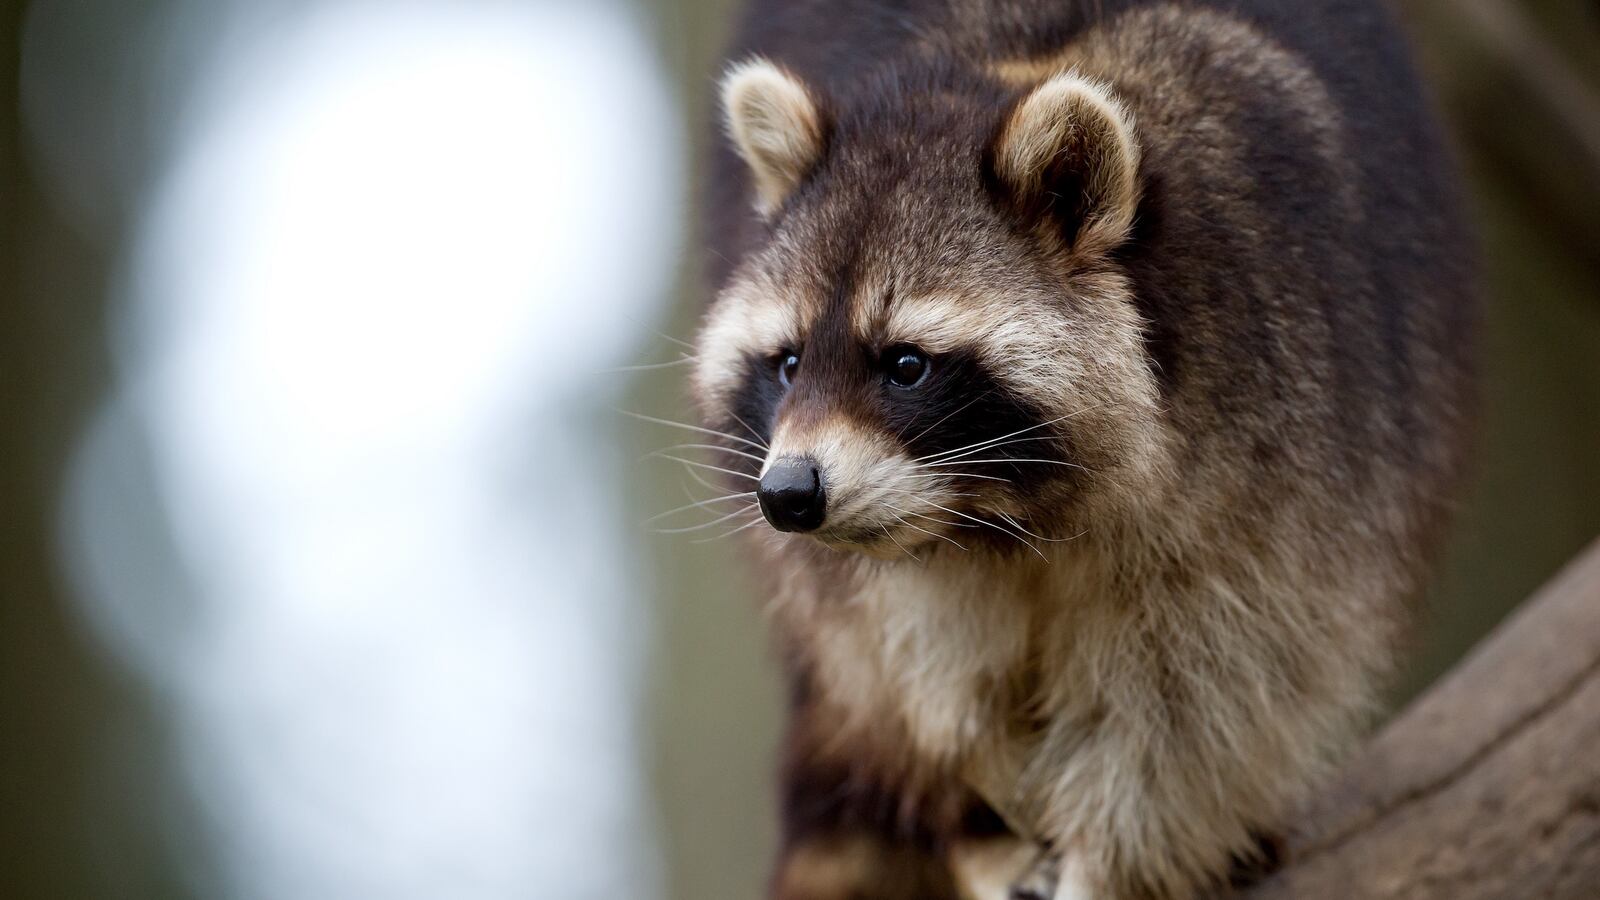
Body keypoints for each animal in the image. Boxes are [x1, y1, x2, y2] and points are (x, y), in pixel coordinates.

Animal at [688, 2, 1476, 898]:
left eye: (906, 366)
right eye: (788, 364)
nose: (789, 495)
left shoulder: (1296, 422)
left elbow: (1214, 686)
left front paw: (1114, 856)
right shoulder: (874, 570)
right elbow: (927, 670)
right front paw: (988, 799)